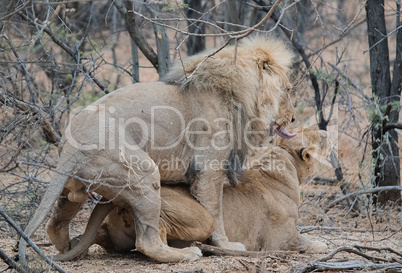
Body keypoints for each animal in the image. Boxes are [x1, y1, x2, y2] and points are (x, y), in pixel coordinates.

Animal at [18, 35, 296, 262]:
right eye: (288, 90)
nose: (293, 119)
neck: (238, 96)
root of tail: (71, 145)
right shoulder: (209, 169)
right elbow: (215, 213)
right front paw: (226, 245)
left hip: (72, 188)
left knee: (55, 223)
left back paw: (71, 249)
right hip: (142, 172)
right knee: (147, 242)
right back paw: (186, 254)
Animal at [51, 126, 330, 260]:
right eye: (320, 137)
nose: (328, 131)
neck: (283, 160)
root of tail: (116, 199)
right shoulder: (279, 241)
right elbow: (309, 243)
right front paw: (321, 244)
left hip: (118, 237)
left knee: (100, 235)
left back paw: (76, 245)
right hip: (200, 219)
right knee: (152, 236)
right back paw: (186, 253)